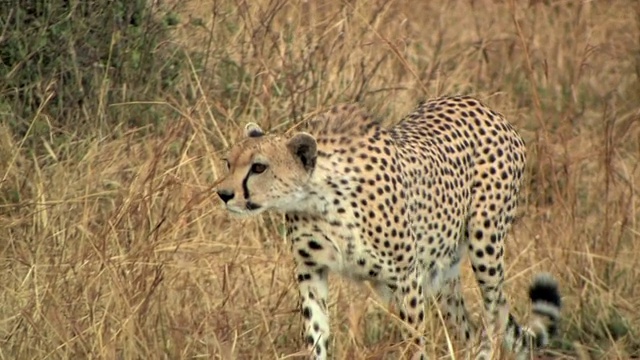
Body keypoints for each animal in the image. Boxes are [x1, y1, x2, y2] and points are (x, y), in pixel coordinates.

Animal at [215, 95, 560, 360]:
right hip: (440, 269)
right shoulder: (310, 270)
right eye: (228, 162)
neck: (318, 200)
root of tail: (483, 106)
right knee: (467, 326)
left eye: (259, 167)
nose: (224, 194)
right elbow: (316, 333)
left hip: (484, 245)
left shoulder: (406, 278)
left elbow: (414, 342)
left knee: (495, 311)